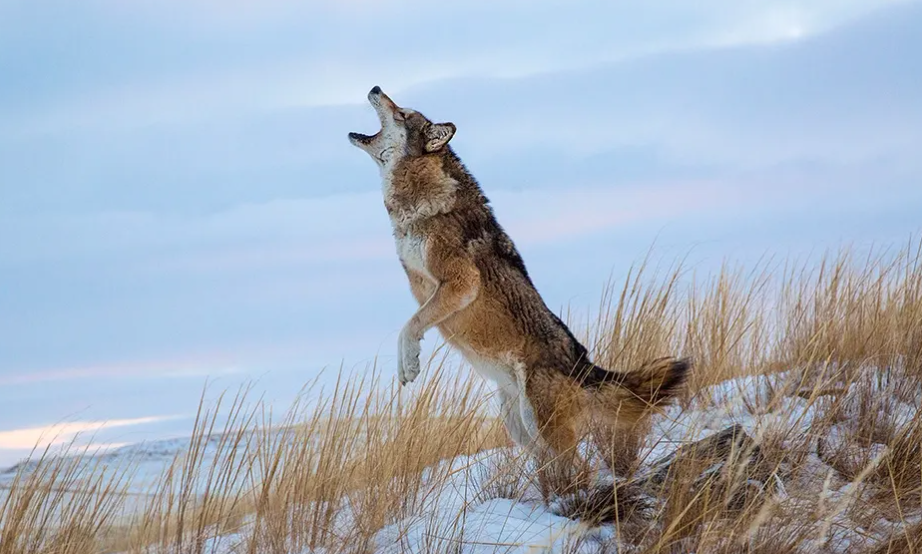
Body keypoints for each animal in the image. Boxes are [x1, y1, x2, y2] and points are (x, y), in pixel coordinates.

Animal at [348, 86, 688, 478]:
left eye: (402, 113)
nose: (375, 88)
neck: (422, 199)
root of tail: (582, 363)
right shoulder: (415, 276)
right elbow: (410, 322)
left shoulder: (461, 282)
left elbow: (409, 326)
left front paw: (410, 365)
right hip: (519, 427)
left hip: (539, 422)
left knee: (580, 469)